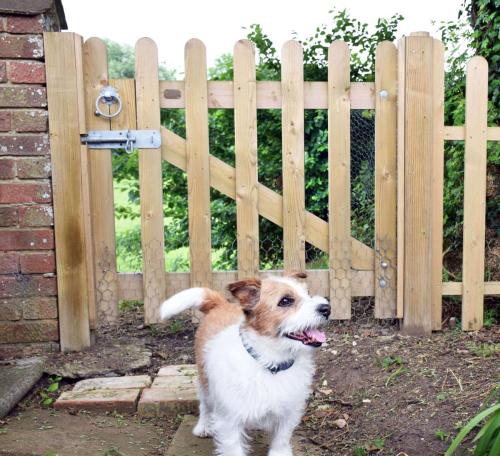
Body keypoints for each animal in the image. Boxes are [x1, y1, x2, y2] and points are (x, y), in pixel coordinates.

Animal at [161, 272, 332, 454]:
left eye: (308, 293)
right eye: (285, 301)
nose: (327, 308)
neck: (270, 362)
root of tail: (222, 304)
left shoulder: (288, 412)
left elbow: (281, 438)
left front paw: (279, 452)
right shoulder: (229, 420)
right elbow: (233, 447)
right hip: (204, 380)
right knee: (204, 405)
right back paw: (204, 426)